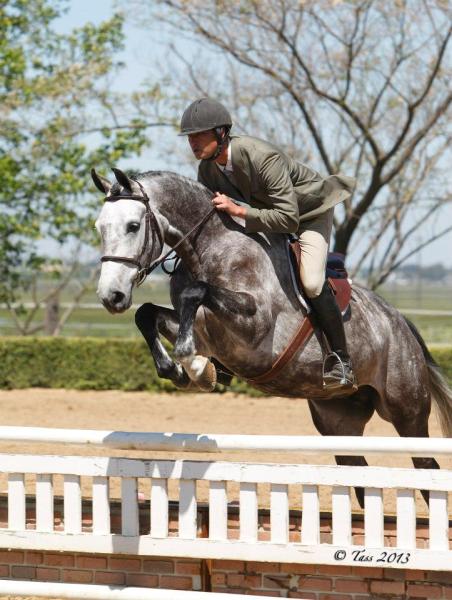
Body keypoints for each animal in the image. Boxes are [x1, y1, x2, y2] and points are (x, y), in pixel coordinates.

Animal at [92, 168, 452, 502]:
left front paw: (191, 362)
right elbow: (147, 314)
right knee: (359, 473)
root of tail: (400, 322)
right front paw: (187, 370)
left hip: (406, 411)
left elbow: (196, 293)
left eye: (133, 226)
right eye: (100, 227)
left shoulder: (254, 328)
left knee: (426, 469)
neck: (211, 248)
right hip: (338, 421)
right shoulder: (205, 331)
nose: (111, 297)